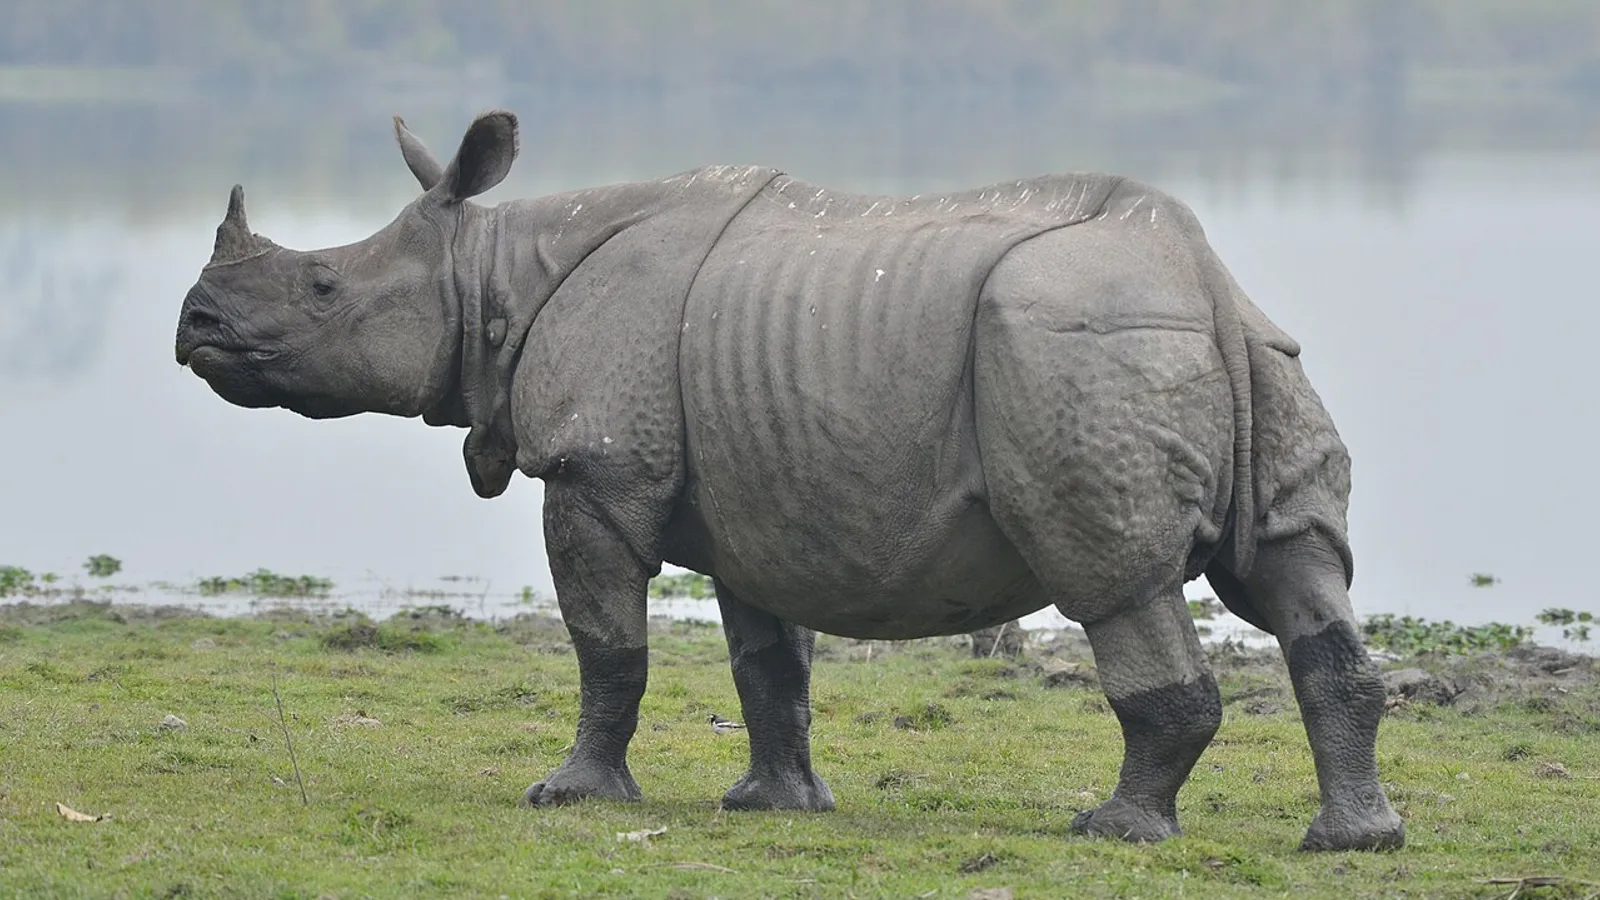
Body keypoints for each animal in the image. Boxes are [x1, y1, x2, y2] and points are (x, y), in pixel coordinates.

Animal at [173, 110, 1403, 851]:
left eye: (322, 288)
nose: (195, 327)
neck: (492, 275)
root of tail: (1197, 277)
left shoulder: (596, 472)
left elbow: (607, 647)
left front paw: (569, 796)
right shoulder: (757, 490)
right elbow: (768, 663)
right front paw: (774, 807)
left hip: (1075, 351)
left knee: (1114, 579)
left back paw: (1112, 830)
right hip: (1250, 354)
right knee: (1296, 575)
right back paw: (1353, 840)